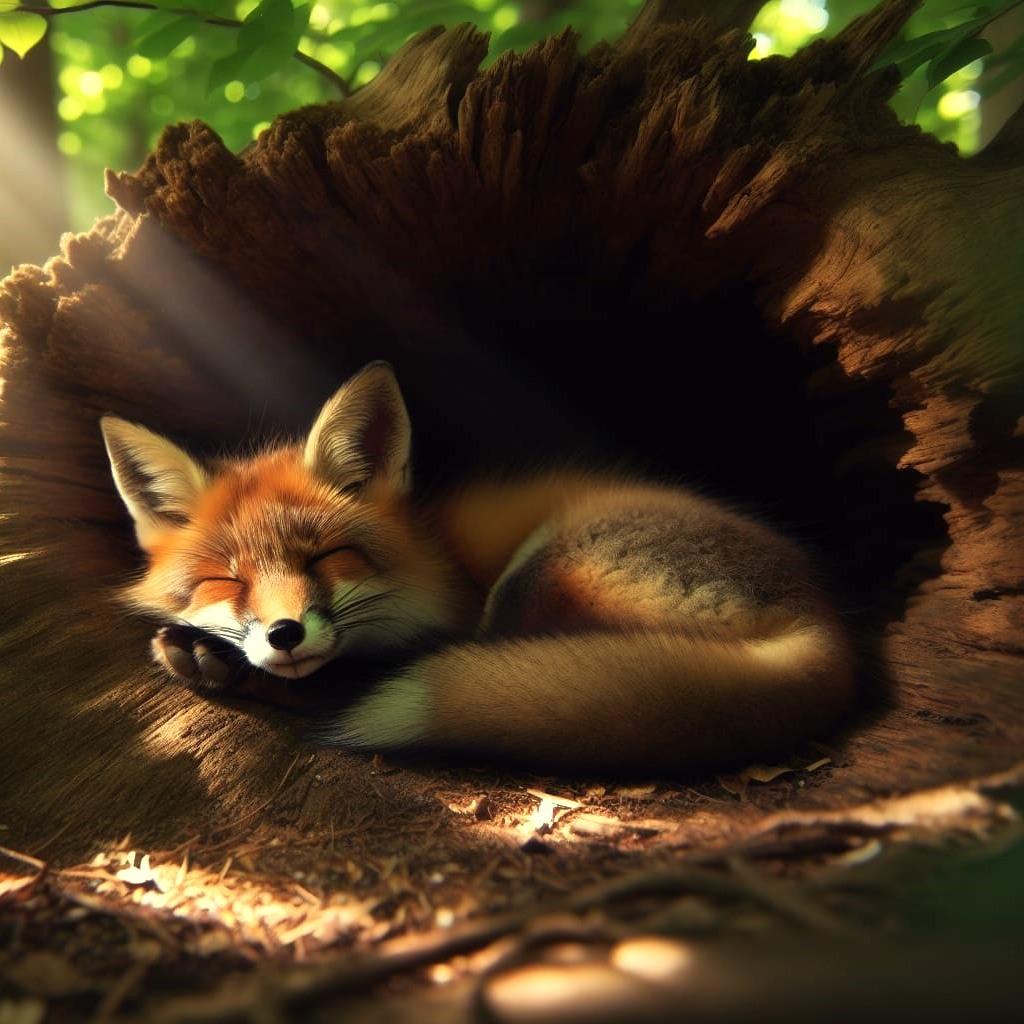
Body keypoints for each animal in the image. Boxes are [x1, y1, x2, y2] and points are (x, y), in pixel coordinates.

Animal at [100, 361, 855, 773]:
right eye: (226, 580)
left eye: (327, 556)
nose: (285, 634)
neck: (429, 551)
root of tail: (828, 617)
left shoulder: (453, 613)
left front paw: (219, 662)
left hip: (541, 570)